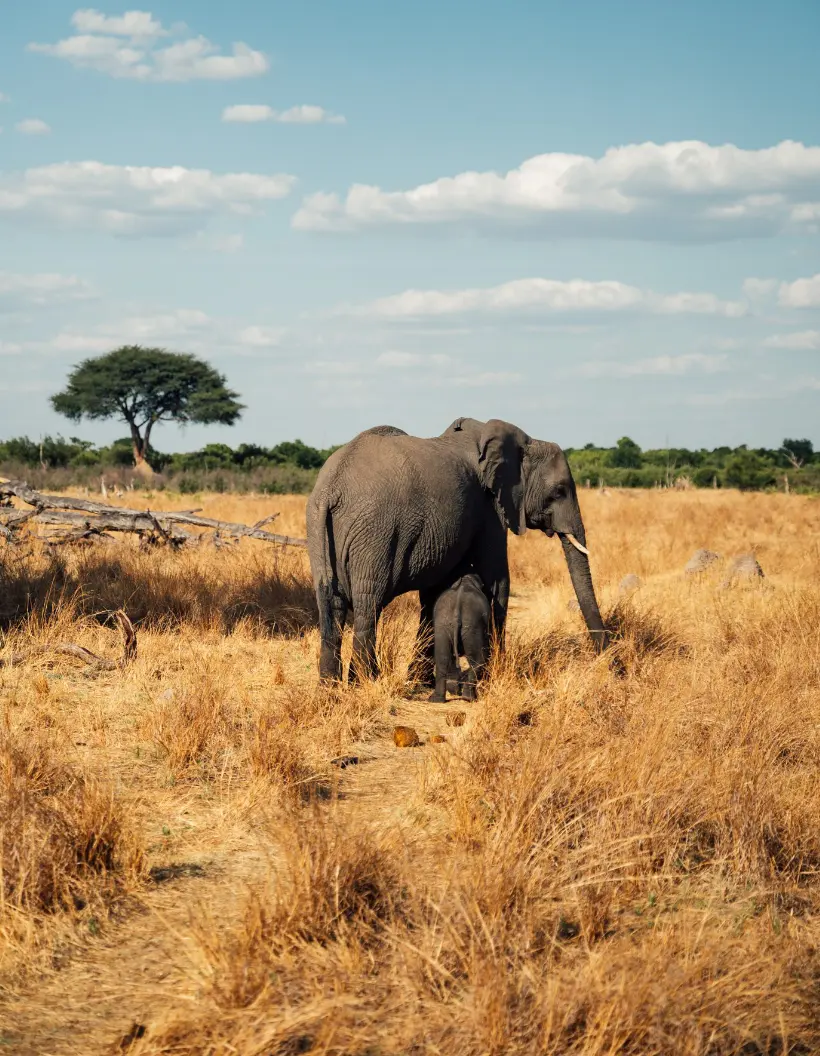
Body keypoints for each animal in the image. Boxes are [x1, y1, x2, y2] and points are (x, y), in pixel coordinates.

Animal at [306, 416, 608, 685]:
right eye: (559, 491)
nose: (608, 660)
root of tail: (331, 489)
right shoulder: (489, 508)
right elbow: (497, 579)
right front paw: (493, 675)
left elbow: (434, 594)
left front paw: (420, 680)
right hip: (375, 533)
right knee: (368, 604)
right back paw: (366, 683)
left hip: (320, 533)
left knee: (331, 605)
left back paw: (331, 689)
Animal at [428, 565, 490, 704]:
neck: (466, 580)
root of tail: (458, 608)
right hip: (472, 625)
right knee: (478, 659)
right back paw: (469, 698)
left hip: (443, 624)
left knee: (442, 657)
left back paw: (437, 699)